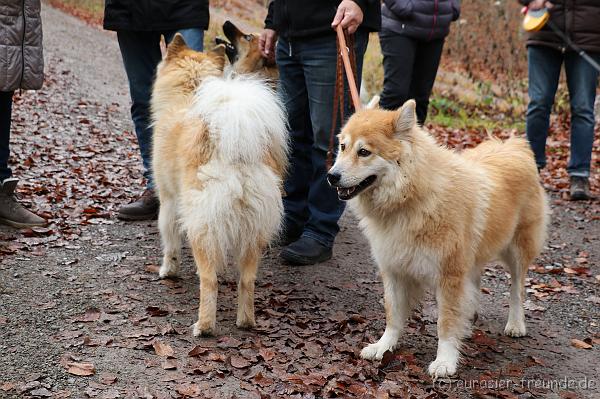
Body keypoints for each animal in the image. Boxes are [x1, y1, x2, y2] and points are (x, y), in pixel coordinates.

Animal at [152, 34, 288, 336]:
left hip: (200, 225)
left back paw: (204, 326)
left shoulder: (169, 201)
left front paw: (168, 270)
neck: (188, 92)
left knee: (208, 281)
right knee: (247, 281)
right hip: (252, 233)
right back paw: (246, 321)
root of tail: (238, 155)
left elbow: (170, 242)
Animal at [328, 100, 548, 378]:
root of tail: (514, 147)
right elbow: (393, 315)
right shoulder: (395, 270)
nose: (331, 176)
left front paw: (445, 361)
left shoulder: (449, 276)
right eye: (343, 147)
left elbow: (446, 322)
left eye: (364, 152)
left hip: (517, 252)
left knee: (517, 290)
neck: (411, 200)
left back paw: (516, 323)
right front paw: (384, 346)